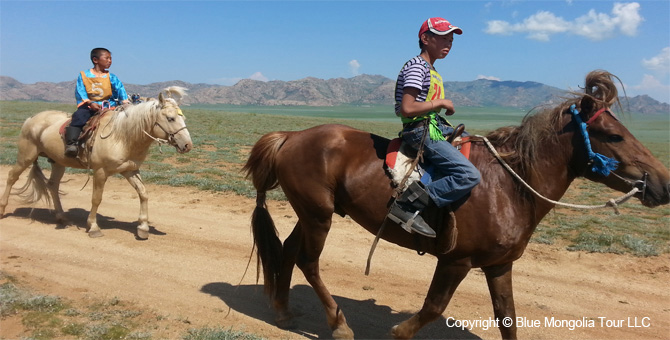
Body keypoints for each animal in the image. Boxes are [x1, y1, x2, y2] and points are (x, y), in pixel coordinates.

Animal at [244, 70, 668, 338]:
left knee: (287, 250)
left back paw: (283, 311)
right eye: (613, 135)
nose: (662, 184)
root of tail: (292, 135)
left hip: (312, 212)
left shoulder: (499, 265)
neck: (508, 186)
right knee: (308, 262)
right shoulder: (456, 260)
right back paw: (339, 325)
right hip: (319, 216)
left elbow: (508, 319)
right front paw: (398, 330)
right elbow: (433, 308)